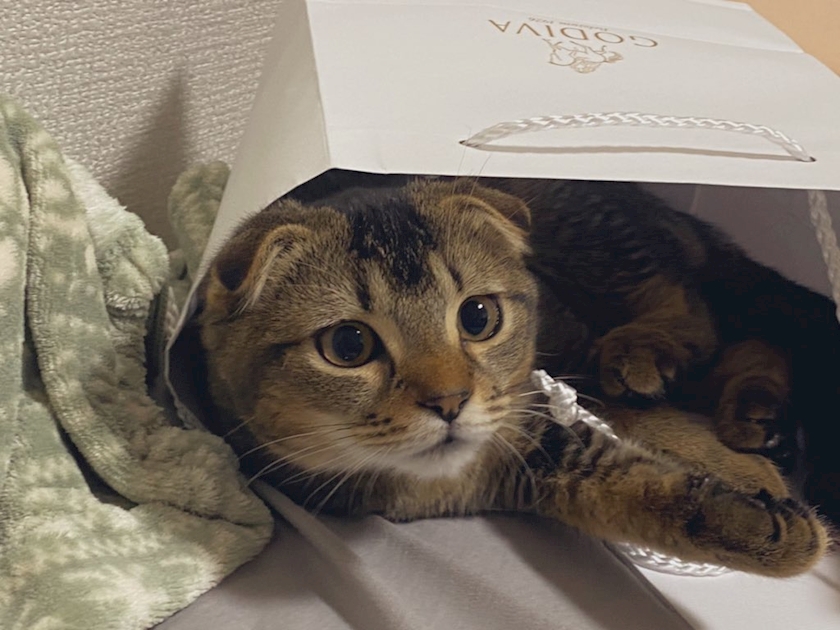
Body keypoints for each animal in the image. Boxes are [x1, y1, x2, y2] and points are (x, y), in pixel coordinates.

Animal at [195, 173, 836, 577]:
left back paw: (647, 357)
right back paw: (756, 418)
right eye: (348, 345)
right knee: (748, 337)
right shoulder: (540, 464)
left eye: (478, 317)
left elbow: (648, 439)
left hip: (590, 244)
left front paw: (762, 493)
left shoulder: (542, 399)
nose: (450, 401)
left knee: (697, 311)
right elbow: (643, 489)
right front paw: (775, 523)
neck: (437, 482)